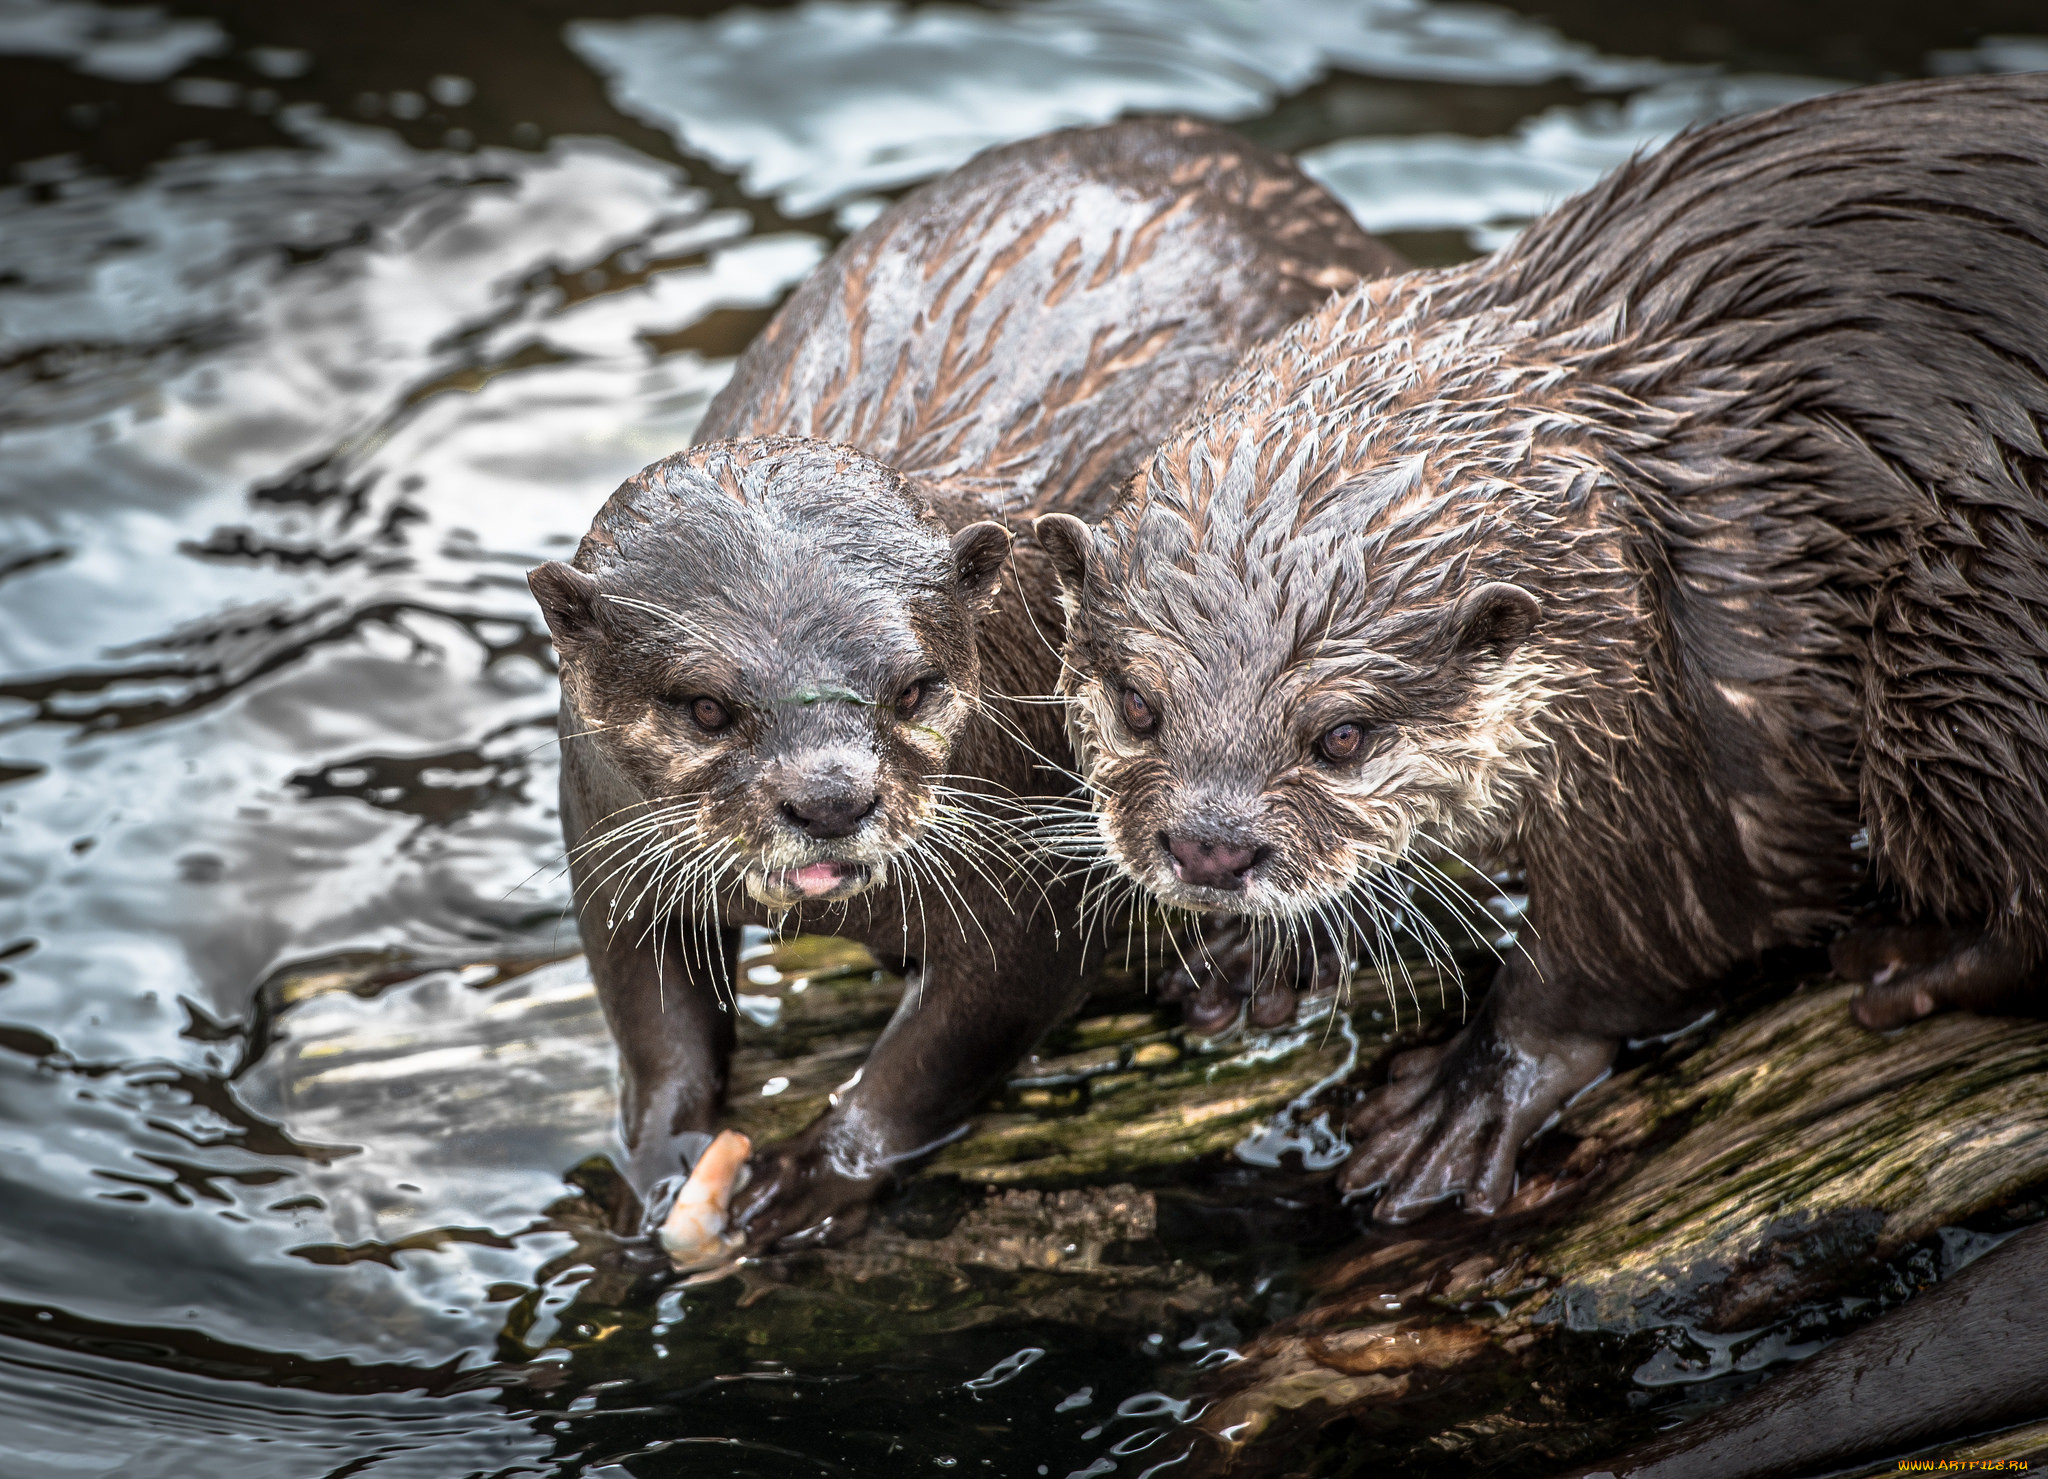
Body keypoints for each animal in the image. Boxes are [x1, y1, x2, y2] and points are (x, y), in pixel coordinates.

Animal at [524, 118, 1409, 1245]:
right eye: (705, 706)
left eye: (913, 688)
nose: (830, 798)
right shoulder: (602, 839)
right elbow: (650, 1017)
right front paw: (666, 1163)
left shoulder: (1038, 870)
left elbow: (955, 1040)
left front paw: (812, 1178)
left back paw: (1258, 966)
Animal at [1040, 72, 2048, 1220]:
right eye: (1137, 703)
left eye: (1341, 736)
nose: (1210, 846)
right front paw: (1258, 950)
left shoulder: (1681, 685)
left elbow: (1667, 921)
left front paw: (1470, 1093)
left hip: (1966, 615)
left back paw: (1900, 964)